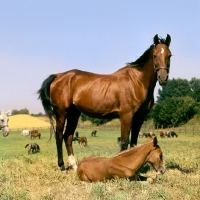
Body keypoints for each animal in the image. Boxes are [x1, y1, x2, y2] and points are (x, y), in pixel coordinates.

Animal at [38, 34, 172, 170]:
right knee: (59, 136)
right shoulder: (126, 116)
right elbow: (124, 142)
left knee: (68, 136)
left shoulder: (139, 118)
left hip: (73, 114)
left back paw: (74, 166)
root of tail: (58, 76)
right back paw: (62, 166)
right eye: (154, 55)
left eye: (169, 55)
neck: (137, 82)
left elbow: (134, 142)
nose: (163, 78)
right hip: (61, 113)